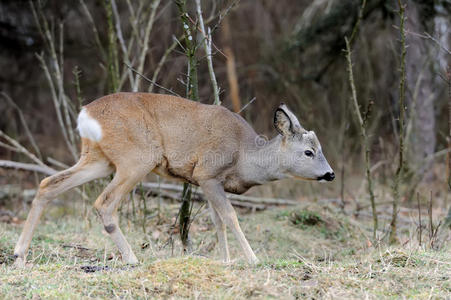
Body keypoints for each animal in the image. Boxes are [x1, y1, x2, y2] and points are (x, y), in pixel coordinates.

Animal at [12, 92, 336, 266]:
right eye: (309, 152)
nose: (330, 174)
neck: (244, 157)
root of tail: (85, 114)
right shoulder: (207, 173)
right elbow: (231, 217)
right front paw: (253, 259)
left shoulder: (207, 181)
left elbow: (218, 220)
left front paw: (226, 260)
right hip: (136, 158)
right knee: (104, 203)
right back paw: (132, 258)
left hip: (98, 159)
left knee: (47, 185)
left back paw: (19, 254)